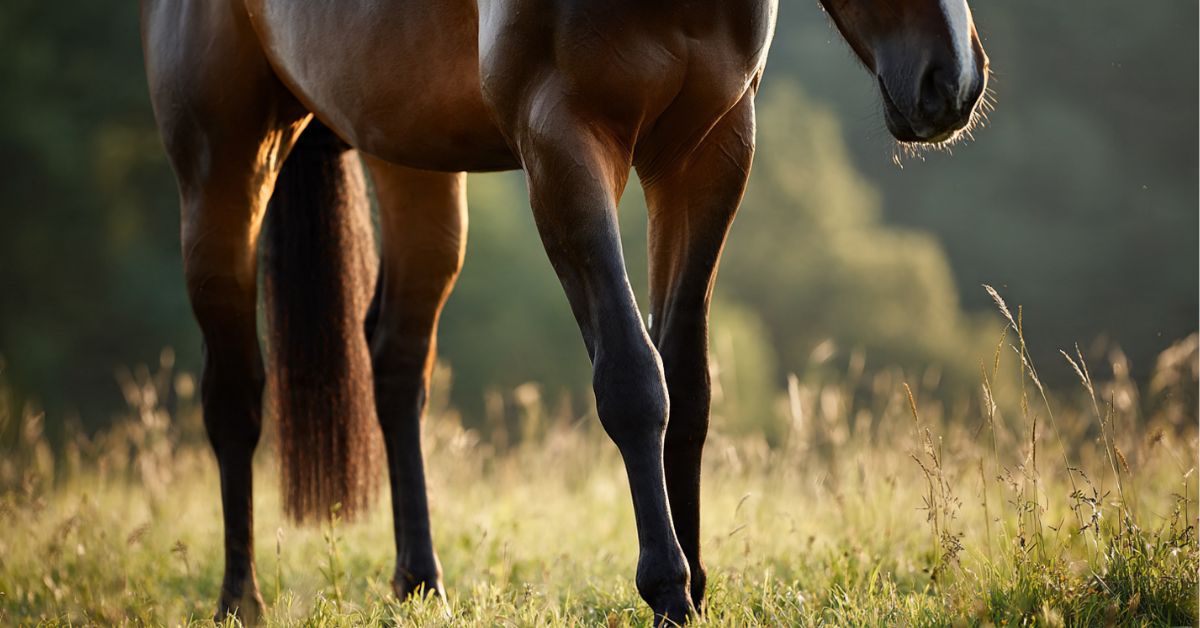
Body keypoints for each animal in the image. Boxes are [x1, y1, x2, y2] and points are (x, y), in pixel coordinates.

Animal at [140, 0, 988, 623]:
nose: (953, 81)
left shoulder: (706, 151)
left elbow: (688, 383)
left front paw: (697, 580)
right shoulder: (563, 143)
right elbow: (634, 381)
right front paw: (667, 590)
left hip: (409, 157)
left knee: (396, 359)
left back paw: (419, 583)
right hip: (224, 167)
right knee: (235, 392)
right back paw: (240, 601)